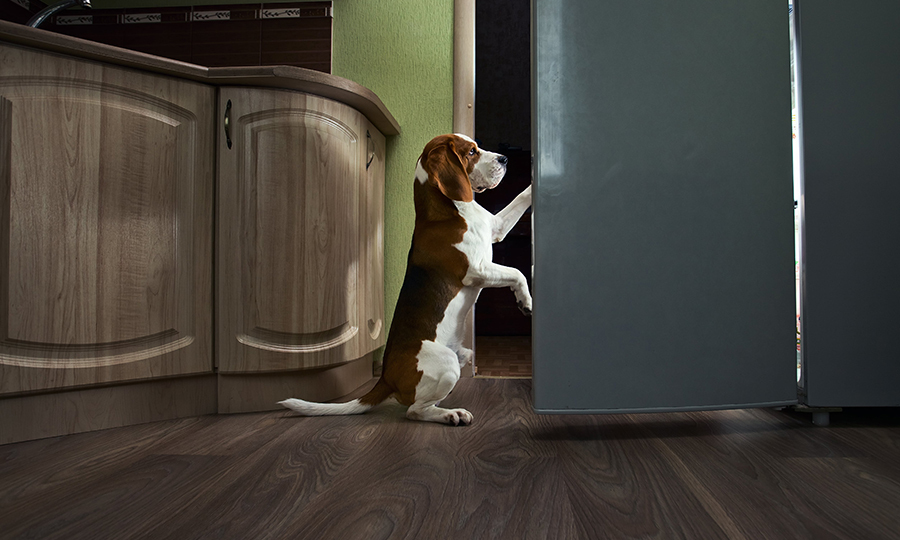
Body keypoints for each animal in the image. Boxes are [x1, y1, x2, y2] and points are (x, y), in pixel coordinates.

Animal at [282, 133, 532, 424]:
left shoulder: (496, 229)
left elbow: (521, 197)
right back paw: (451, 415)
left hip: (463, 356)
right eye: (471, 151)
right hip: (447, 364)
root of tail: (385, 378)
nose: (505, 159)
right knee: (415, 410)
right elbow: (517, 272)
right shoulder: (476, 270)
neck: (450, 208)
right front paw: (525, 301)